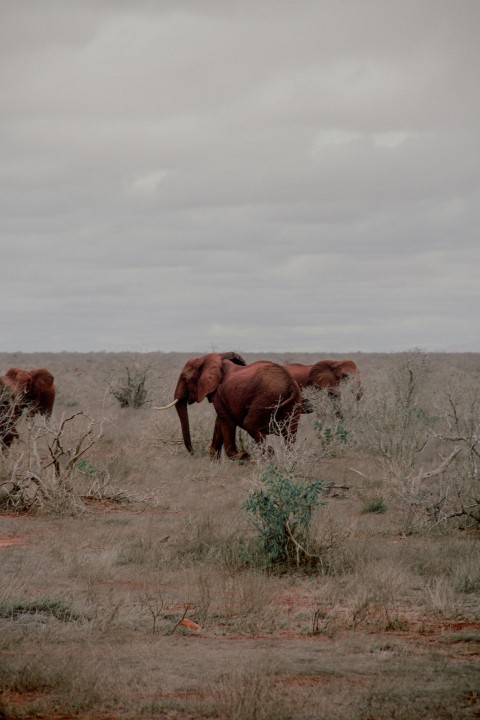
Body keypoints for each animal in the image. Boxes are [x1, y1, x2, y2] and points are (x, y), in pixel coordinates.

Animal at [159, 352, 302, 460]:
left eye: (184, 378)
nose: (194, 453)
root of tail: (290, 383)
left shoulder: (219, 394)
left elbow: (226, 422)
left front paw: (244, 457)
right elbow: (219, 423)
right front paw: (214, 462)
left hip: (267, 398)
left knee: (250, 424)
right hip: (294, 403)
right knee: (290, 434)